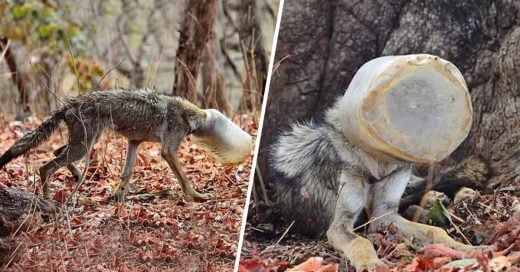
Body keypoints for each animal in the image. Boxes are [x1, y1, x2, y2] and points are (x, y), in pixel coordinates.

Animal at [0, 89, 252, 202]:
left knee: (56, 153)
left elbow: (127, 173)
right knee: (45, 167)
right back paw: (48, 200)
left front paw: (119, 198)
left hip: (84, 145)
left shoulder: (134, 142)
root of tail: (69, 104)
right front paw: (196, 196)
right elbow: (184, 178)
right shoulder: (168, 151)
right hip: (83, 146)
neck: (187, 114)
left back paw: (78, 176)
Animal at [270, 101, 486, 270]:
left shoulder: (384, 214)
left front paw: (466, 249)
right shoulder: (340, 225)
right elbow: (361, 242)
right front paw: (371, 264)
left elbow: (435, 231)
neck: (377, 165)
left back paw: (455, 194)